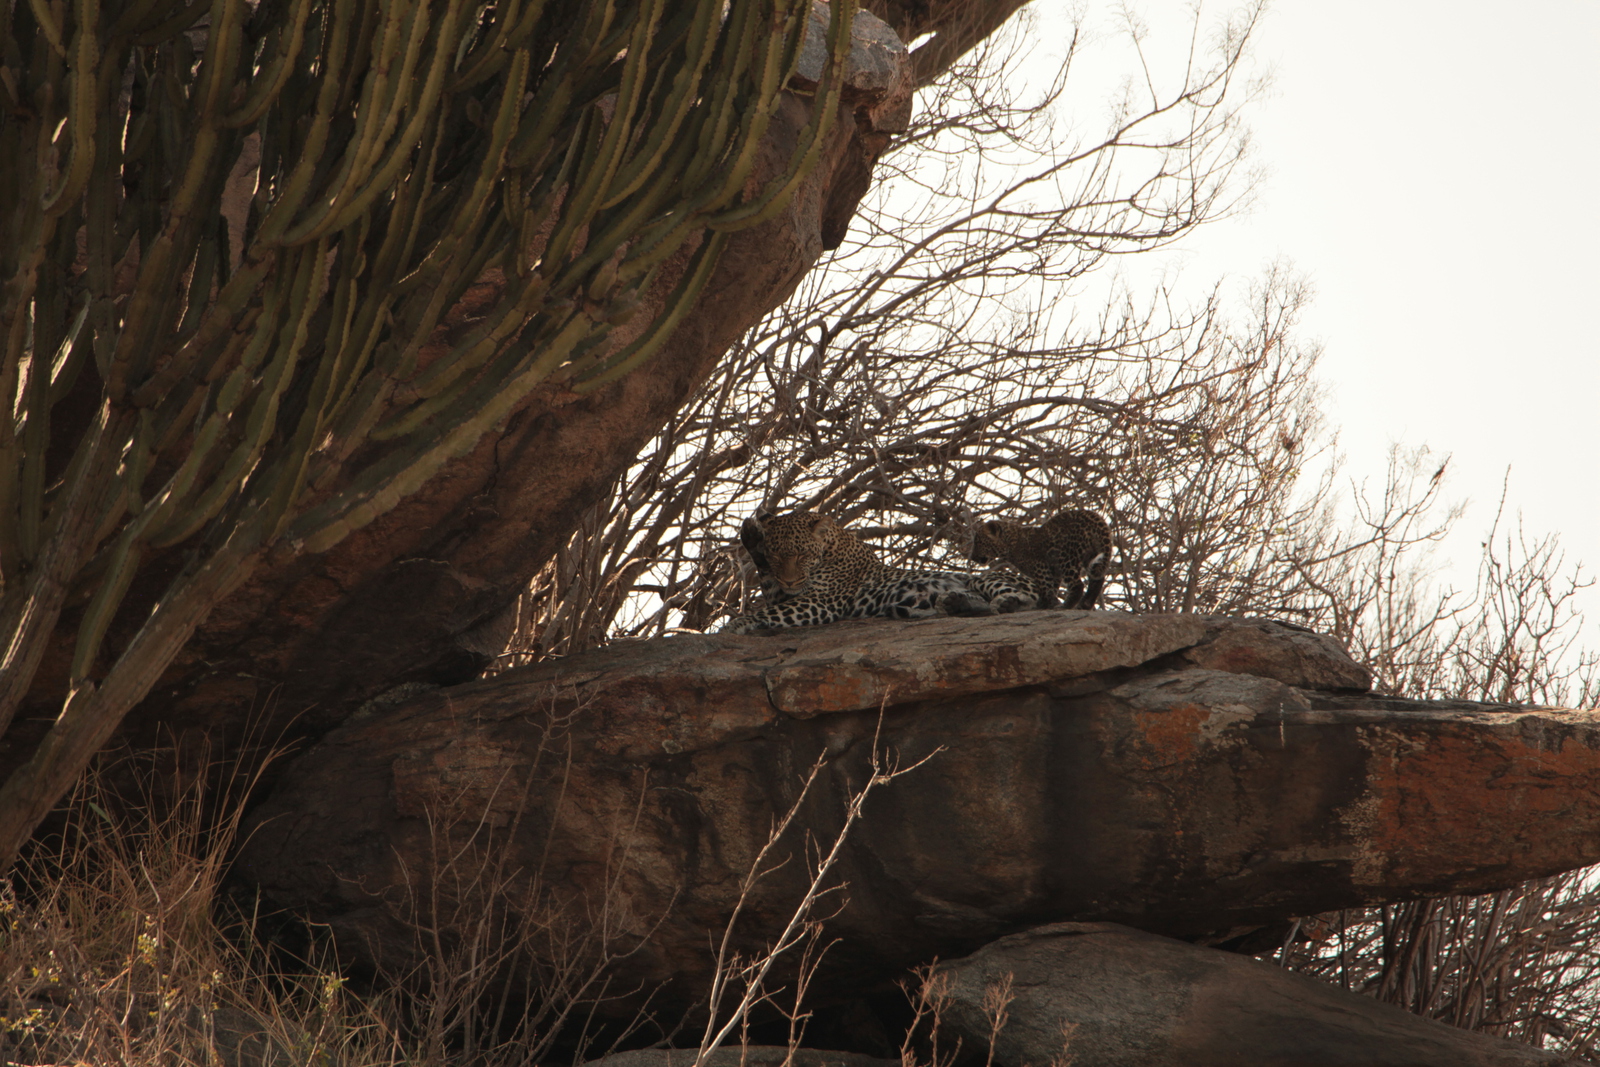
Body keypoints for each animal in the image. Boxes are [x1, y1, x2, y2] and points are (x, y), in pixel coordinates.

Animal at [716, 511, 1036, 633]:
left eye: (802, 554)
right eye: (775, 555)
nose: (790, 579)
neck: (831, 547)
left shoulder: (820, 601)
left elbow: (765, 611)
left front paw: (736, 624)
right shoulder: (784, 593)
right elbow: (769, 590)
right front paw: (751, 535)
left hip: (987, 577)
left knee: (1031, 601)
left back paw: (1005, 602)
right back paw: (946, 603)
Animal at [960, 508, 1113, 607]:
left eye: (978, 542)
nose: (972, 557)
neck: (1011, 544)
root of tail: (1093, 516)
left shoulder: (1040, 567)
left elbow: (1045, 589)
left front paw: (1044, 605)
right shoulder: (1053, 572)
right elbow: (1051, 589)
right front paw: (1047, 603)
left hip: (1065, 558)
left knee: (1078, 585)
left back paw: (1067, 606)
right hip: (1091, 554)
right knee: (1097, 579)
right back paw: (1085, 604)